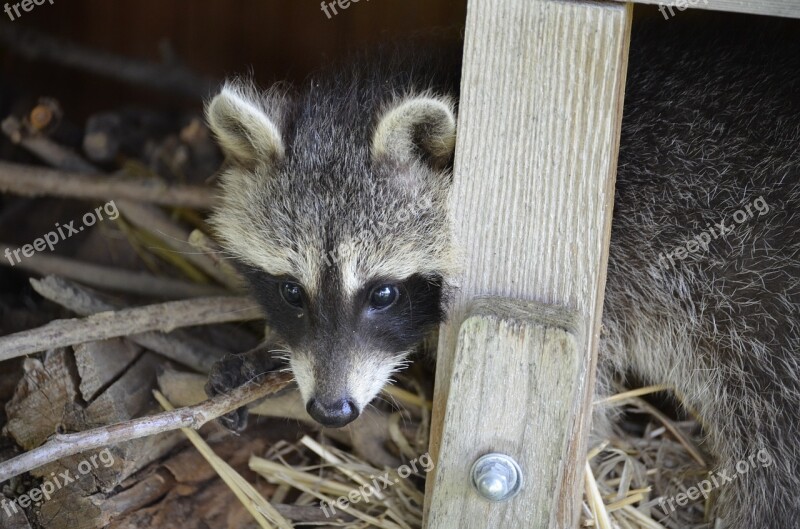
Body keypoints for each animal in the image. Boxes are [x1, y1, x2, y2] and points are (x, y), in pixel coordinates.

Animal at [206, 17, 800, 528]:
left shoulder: (618, 278)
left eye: (384, 293)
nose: (331, 410)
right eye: (290, 291)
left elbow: (589, 406)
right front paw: (264, 354)